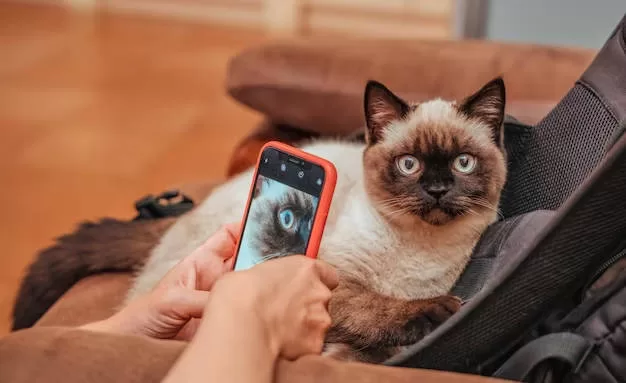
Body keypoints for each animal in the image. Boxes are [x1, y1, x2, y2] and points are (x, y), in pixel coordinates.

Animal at [127, 77, 508, 364]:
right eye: (409, 164)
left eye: (463, 162)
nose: (437, 190)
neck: (417, 247)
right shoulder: (336, 284)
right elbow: (372, 308)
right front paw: (439, 312)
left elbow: (361, 354)